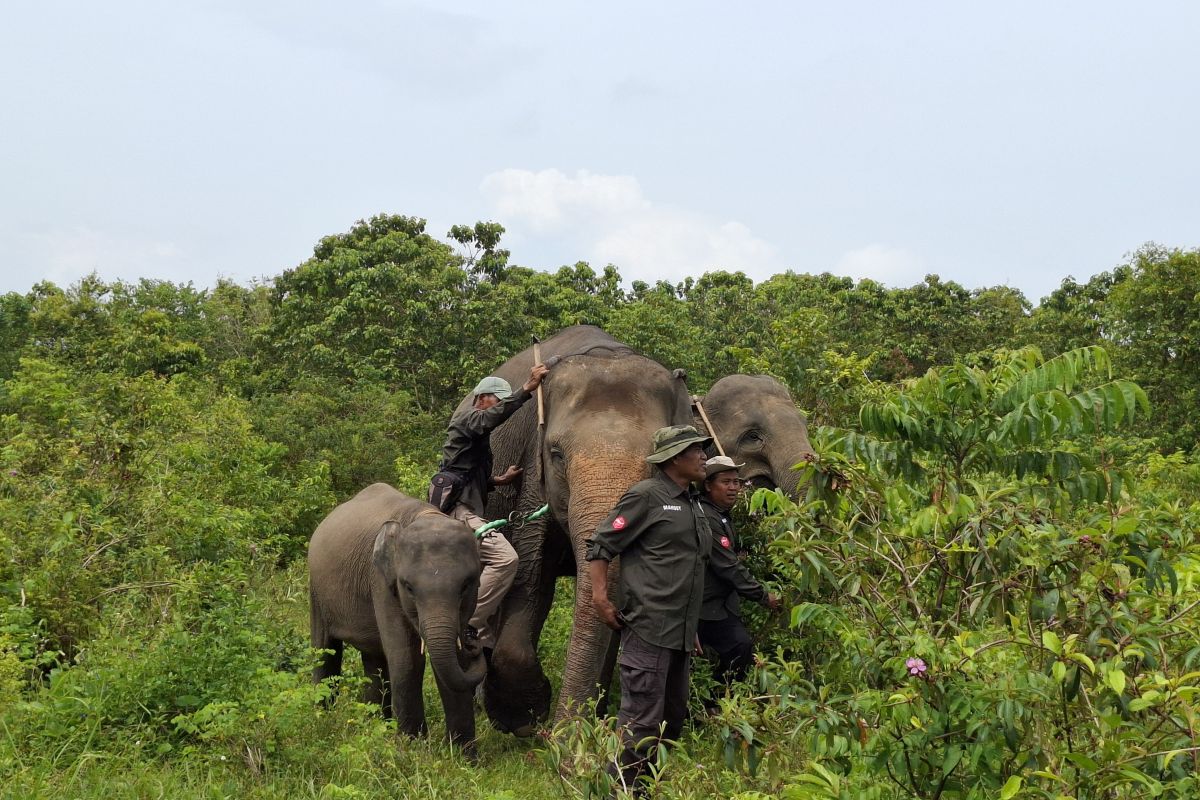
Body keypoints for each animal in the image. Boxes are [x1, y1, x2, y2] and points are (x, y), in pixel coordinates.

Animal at [308, 482, 487, 753]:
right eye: (408, 587)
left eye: (467, 584)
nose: (473, 639)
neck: (425, 515)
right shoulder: (382, 582)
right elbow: (407, 659)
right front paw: (414, 749)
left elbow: (451, 664)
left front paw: (462, 757)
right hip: (317, 589)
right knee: (324, 650)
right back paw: (323, 718)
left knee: (374, 661)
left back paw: (375, 725)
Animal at [452, 325, 692, 736]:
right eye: (557, 454)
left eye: (656, 461)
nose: (561, 736)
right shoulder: (533, 473)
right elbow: (531, 579)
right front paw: (522, 720)